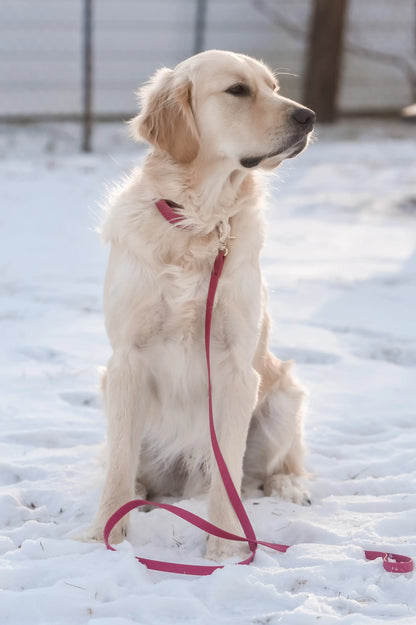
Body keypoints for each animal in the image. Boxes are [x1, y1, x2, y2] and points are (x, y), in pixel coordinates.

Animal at [88, 47, 316, 556]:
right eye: (238, 90)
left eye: (273, 87)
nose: (309, 117)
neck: (201, 222)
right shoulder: (126, 361)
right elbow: (117, 467)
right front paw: (103, 535)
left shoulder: (236, 368)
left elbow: (227, 472)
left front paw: (225, 550)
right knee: (127, 467)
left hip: (282, 397)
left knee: (275, 467)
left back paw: (290, 487)